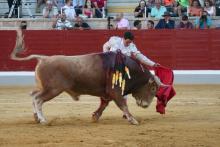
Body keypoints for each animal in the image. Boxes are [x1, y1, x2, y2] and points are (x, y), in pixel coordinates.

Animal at [11, 29, 159, 125]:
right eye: (153, 89)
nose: (146, 105)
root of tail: (43, 58)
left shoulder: (108, 93)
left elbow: (105, 104)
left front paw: (95, 117)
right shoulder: (115, 91)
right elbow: (123, 105)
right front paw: (133, 120)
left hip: (44, 87)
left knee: (33, 95)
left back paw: (36, 117)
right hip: (53, 89)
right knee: (38, 99)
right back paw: (43, 120)